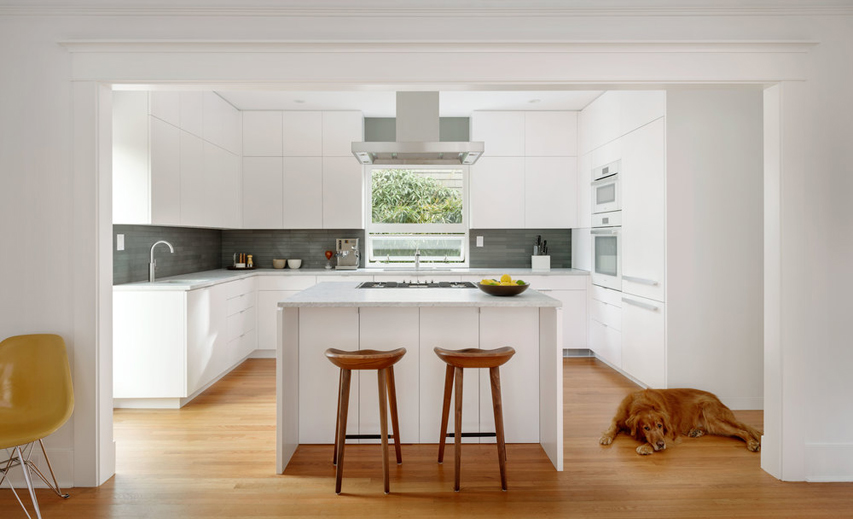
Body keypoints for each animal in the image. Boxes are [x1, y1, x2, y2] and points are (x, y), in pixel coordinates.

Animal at [600, 388, 760, 458]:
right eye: (646, 428)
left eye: (660, 425)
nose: (660, 445)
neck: (641, 404)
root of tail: (717, 399)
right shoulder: (618, 418)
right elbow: (612, 426)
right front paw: (606, 436)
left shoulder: (670, 432)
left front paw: (646, 447)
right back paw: (696, 431)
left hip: (713, 418)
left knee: (742, 431)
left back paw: (753, 443)